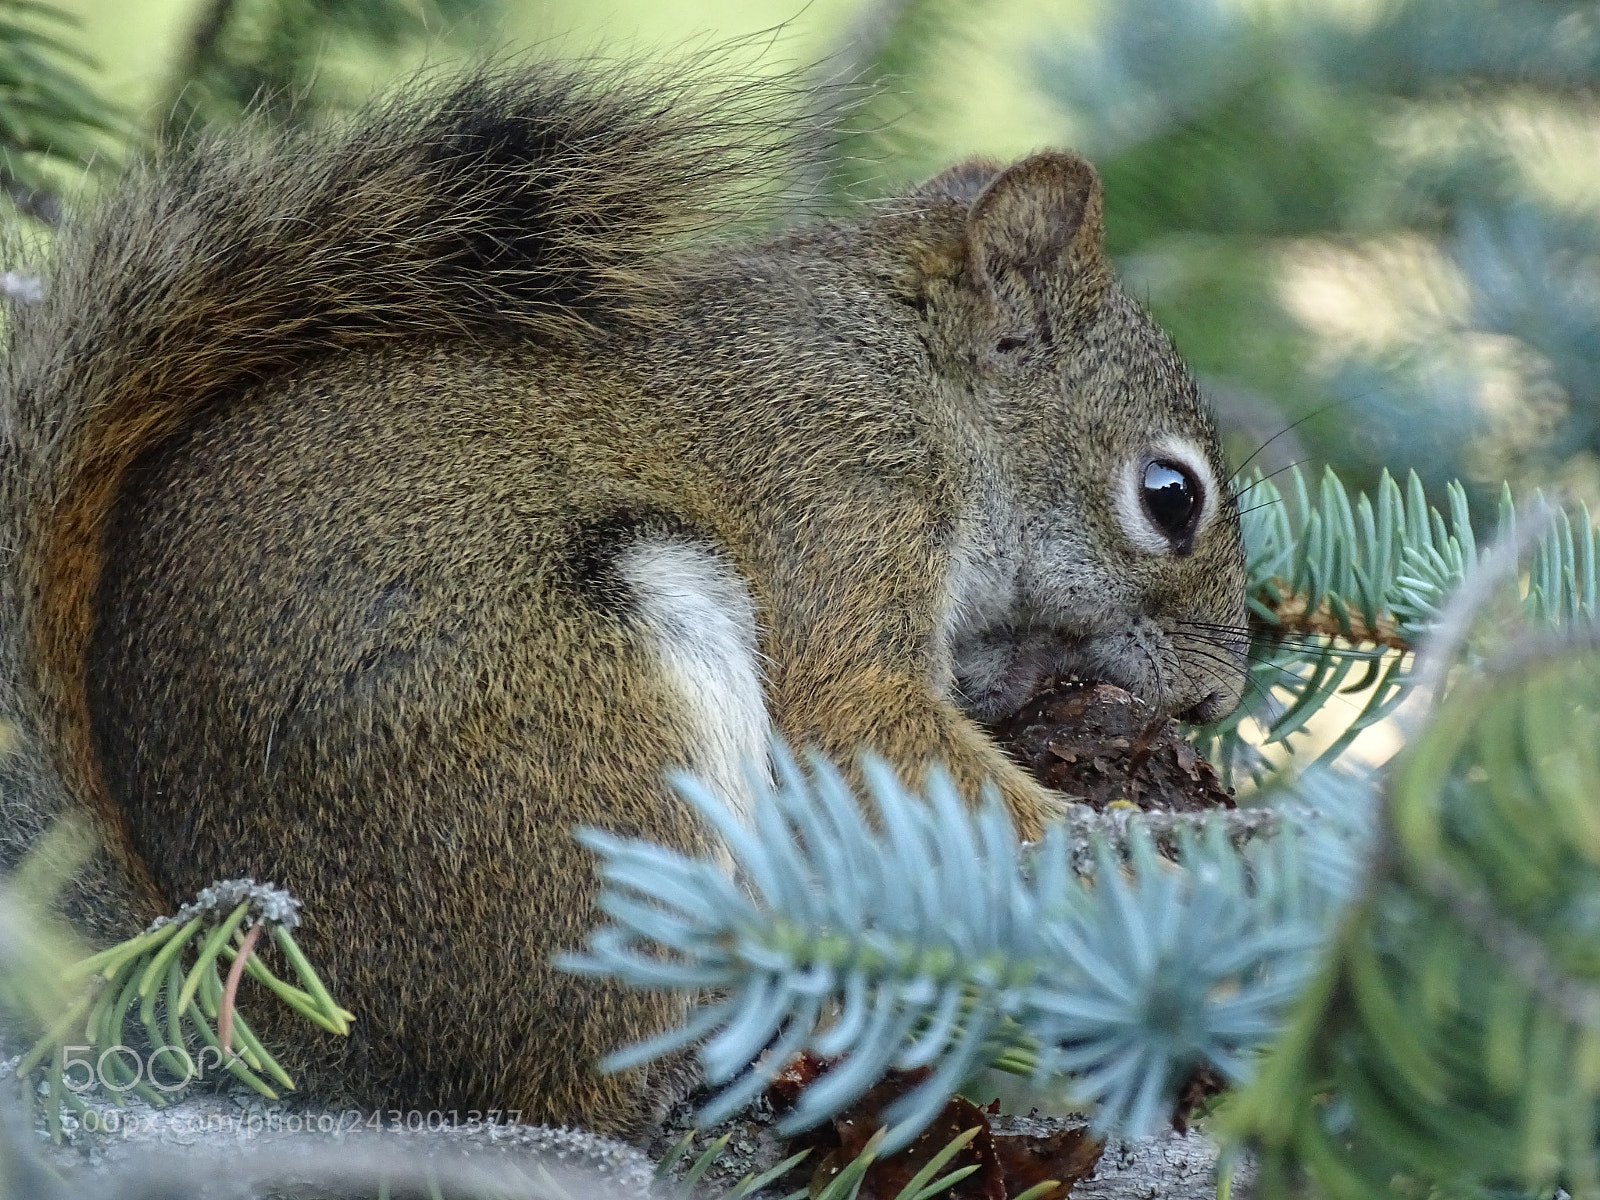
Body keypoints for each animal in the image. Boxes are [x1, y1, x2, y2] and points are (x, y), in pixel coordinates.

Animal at [0, 63, 1247, 1136]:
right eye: (1170, 496)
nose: (1217, 699)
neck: (910, 375)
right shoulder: (836, 508)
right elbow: (863, 730)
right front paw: (1155, 858)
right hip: (587, 755)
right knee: (590, 1086)